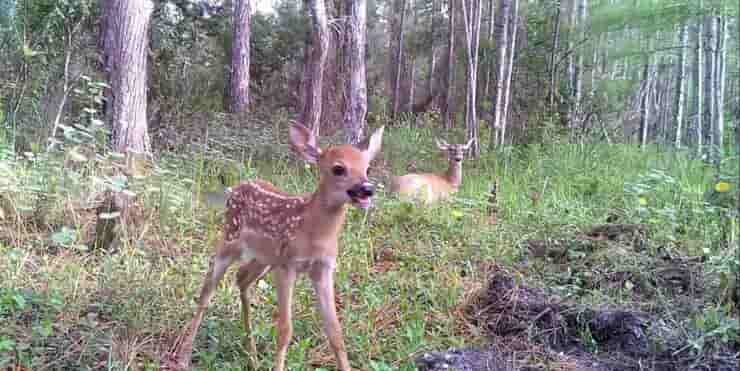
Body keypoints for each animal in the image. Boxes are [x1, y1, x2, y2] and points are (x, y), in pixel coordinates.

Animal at [168, 123, 384, 371]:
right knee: (206, 291)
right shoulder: (287, 265)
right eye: (338, 168)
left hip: (263, 258)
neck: (314, 233)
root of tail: (234, 189)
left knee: (241, 277)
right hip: (230, 240)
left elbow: (335, 332)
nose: (367, 188)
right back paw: (183, 357)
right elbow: (284, 330)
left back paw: (252, 356)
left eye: (367, 168)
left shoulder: (323, 268)